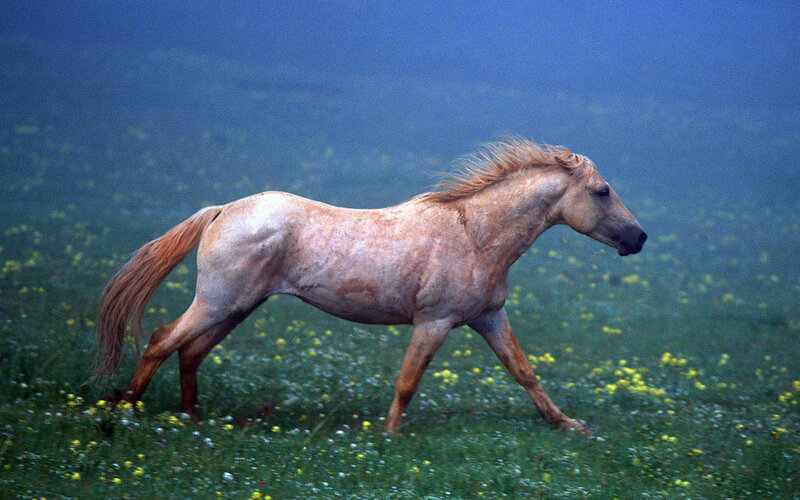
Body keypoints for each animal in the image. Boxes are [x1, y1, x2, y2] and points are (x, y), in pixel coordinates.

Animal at [96, 138, 647, 435]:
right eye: (601, 191)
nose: (638, 238)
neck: (476, 234)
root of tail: (222, 210)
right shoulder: (435, 322)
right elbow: (407, 381)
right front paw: (388, 436)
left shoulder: (489, 317)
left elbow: (525, 373)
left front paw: (567, 425)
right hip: (218, 301)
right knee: (161, 340)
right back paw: (124, 411)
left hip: (237, 306)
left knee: (190, 352)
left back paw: (192, 416)